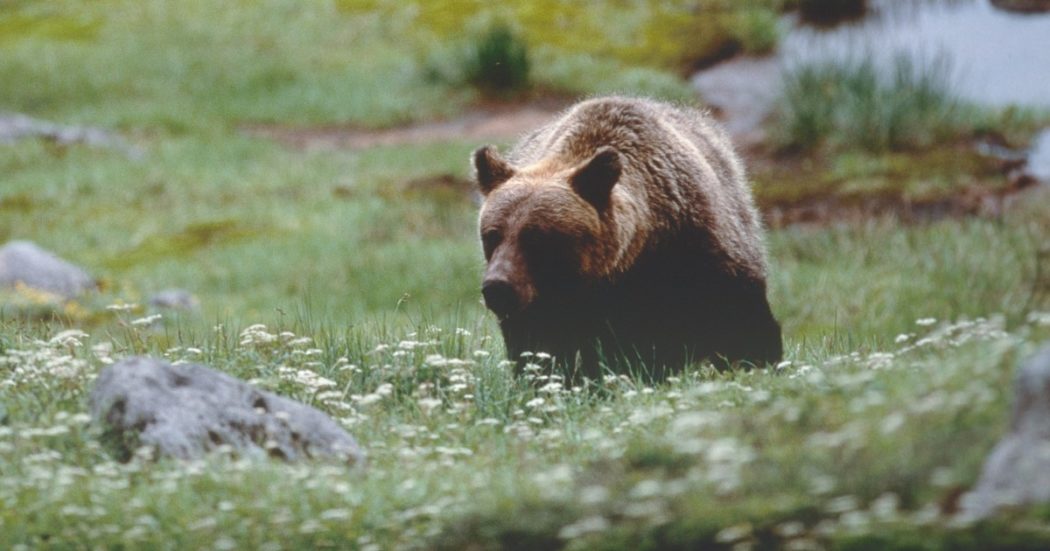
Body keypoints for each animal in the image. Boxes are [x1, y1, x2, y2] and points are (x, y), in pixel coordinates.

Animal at [474, 94, 781, 379]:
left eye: (537, 239)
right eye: (492, 235)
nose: (498, 287)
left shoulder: (698, 246)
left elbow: (739, 315)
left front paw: (756, 361)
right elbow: (540, 347)